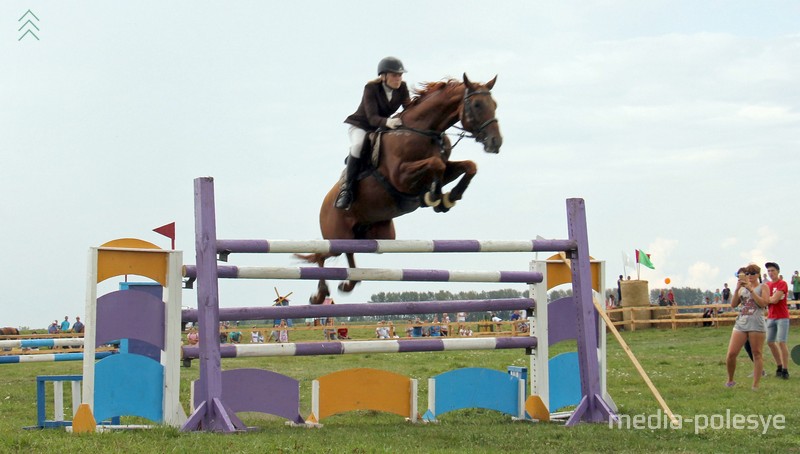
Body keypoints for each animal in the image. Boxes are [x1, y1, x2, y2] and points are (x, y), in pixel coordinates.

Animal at [296, 72, 504, 304]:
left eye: (494, 105)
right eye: (477, 105)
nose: (495, 143)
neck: (424, 132)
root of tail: (325, 203)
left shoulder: (444, 168)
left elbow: (468, 166)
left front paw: (448, 197)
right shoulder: (400, 177)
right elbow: (436, 164)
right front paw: (435, 196)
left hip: (377, 237)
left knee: (349, 253)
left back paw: (349, 283)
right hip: (337, 236)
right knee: (322, 254)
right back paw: (320, 294)